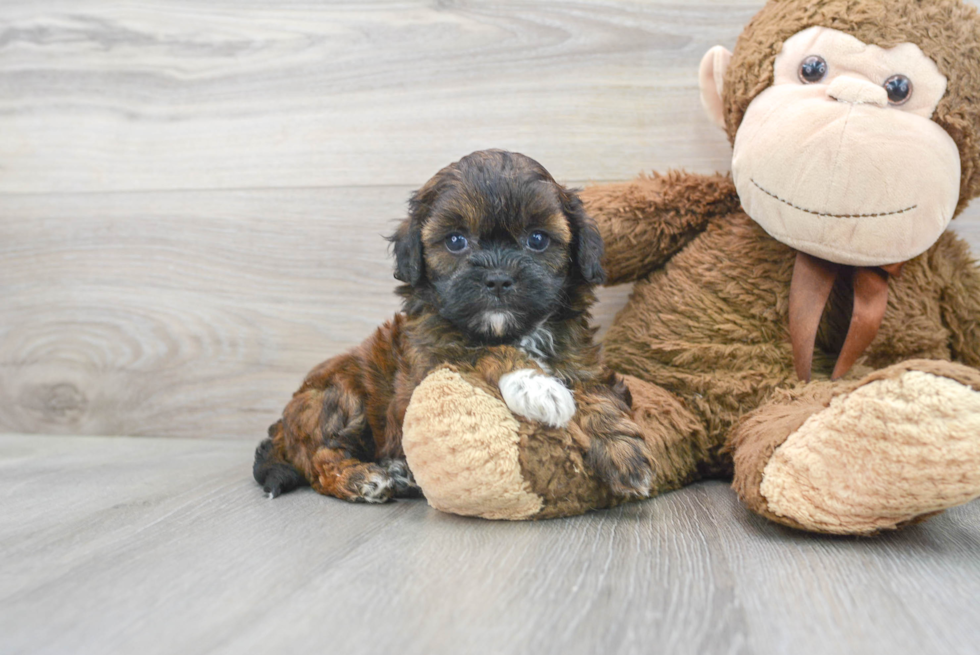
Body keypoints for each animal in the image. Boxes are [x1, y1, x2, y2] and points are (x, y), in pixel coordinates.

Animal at [253, 151, 652, 504]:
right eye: (456, 241)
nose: (498, 278)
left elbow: (598, 395)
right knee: (319, 460)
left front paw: (623, 453)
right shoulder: (432, 362)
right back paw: (363, 478)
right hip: (339, 396)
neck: (513, 330)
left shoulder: (580, 360)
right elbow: (483, 352)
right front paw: (537, 386)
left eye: (537, 239)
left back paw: (398, 473)